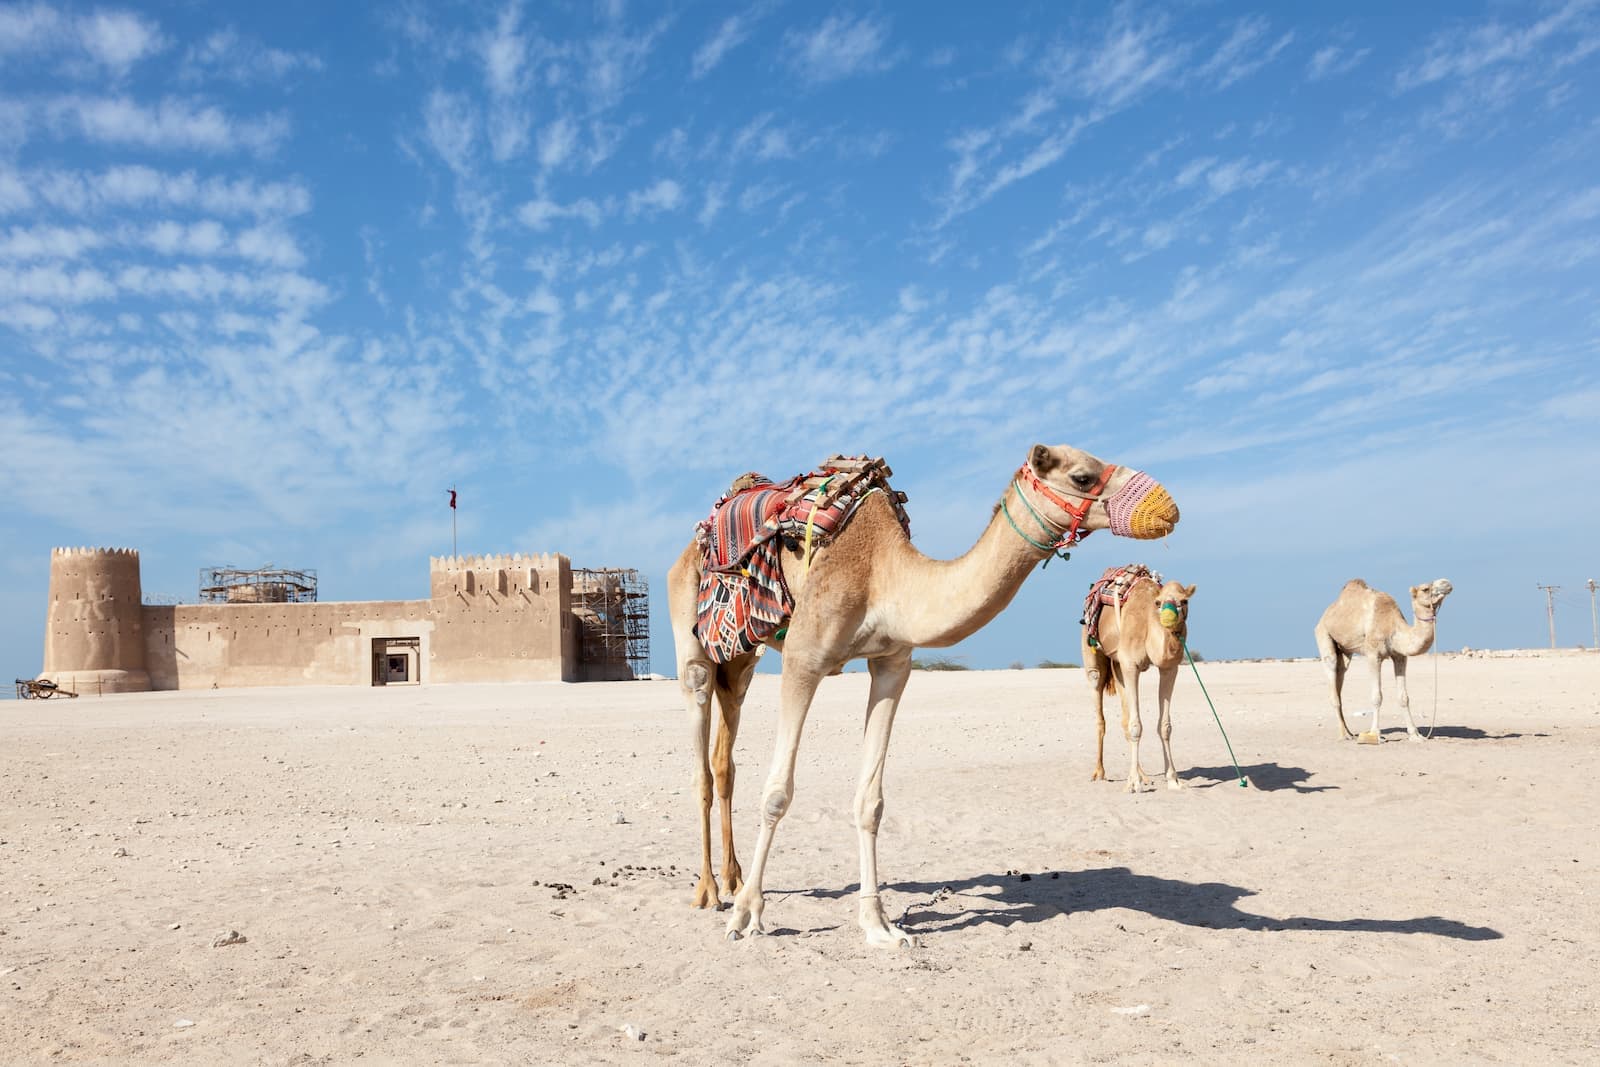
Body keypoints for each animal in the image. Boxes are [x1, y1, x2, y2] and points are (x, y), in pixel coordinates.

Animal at [666, 444, 1179, 946]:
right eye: (1082, 477)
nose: (1167, 508)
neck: (883, 572)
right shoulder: (804, 657)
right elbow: (777, 794)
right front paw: (747, 915)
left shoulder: (893, 663)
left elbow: (871, 802)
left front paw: (879, 924)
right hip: (695, 642)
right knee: (702, 756)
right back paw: (710, 891)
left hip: (741, 660)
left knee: (724, 760)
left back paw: (732, 878)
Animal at [1081, 574, 1197, 792]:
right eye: (1158, 603)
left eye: (1185, 601)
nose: (1169, 619)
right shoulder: (1131, 664)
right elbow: (1136, 725)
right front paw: (1133, 784)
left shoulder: (1169, 668)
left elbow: (1165, 726)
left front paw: (1173, 779)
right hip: (1093, 654)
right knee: (1100, 709)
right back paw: (1099, 772)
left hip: (1117, 666)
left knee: (1124, 718)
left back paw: (1144, 775)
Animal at [1313, 578, 1453, 743]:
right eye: (1425, 589)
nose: (1446, 582)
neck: (1392, 626)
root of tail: (1325, 615)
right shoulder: (1373, 655)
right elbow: (1377, 697)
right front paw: (1375, 734)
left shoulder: (1400, 657)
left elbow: (1404, 697)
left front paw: (1415, 735)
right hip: (1323, 634)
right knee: (1332, 673)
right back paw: (1343, 735)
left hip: (1345, 651)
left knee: (1341, 674)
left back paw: (1350, 732)